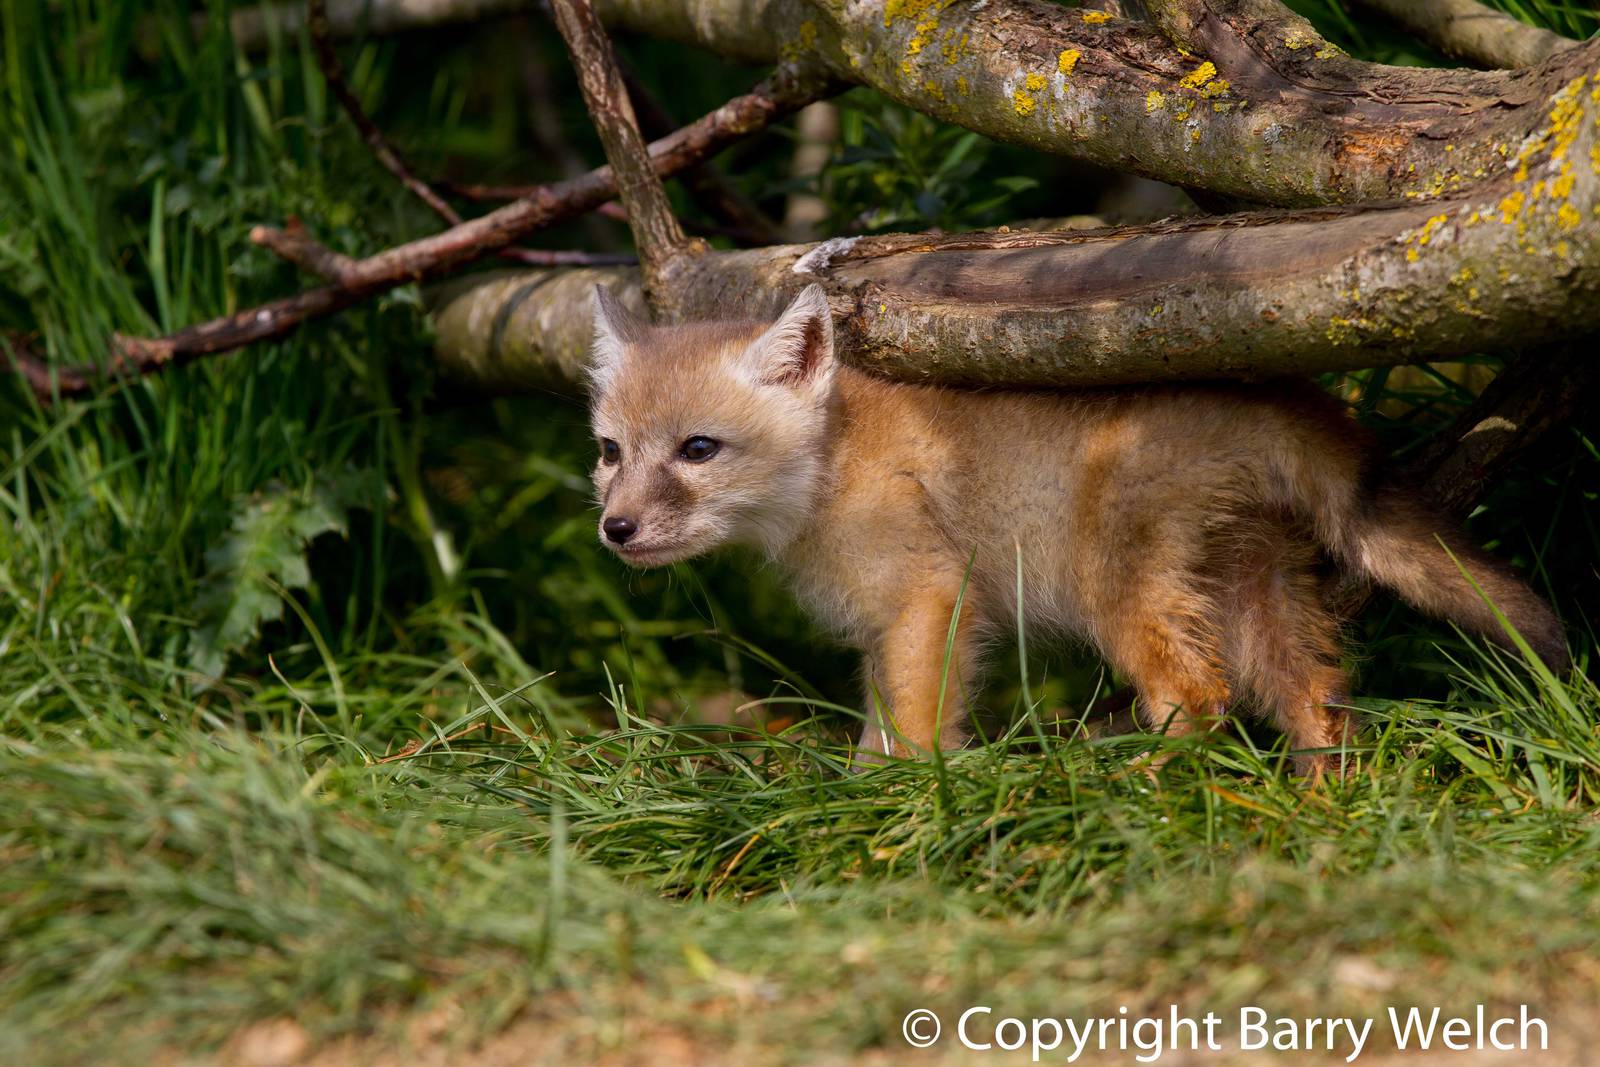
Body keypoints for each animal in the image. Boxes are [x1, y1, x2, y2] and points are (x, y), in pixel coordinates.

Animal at [586, 283, 1568, 776]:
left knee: (1196, 699)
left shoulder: (927, 603)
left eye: (699, 448)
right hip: (1256, 593)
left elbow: (914, 735)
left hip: (1123, 598)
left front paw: (905, 822)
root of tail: (1281, 390)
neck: (833, 466)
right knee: (1317, 703)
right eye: (608, 450)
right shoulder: (885, 631)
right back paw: (1316, 816)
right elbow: (876, 730)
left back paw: (1129, 794)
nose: (615, 529)